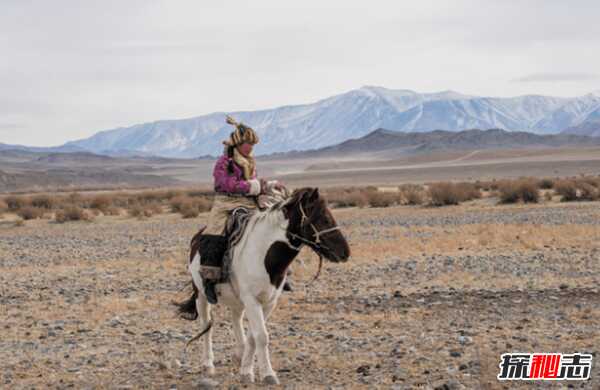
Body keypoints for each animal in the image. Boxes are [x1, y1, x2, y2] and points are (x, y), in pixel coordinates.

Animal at [176, 188, 350, 384]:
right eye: (324, 218)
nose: (345, 252)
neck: (263, 253)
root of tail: (197, 237)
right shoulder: (252, 301)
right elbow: (261, 336)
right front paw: (267, 374)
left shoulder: (268, 302)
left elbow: (253, 336)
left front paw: (246, 370)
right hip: (201, 295)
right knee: (206, 325)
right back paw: (208, 364)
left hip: (237, 299)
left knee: (235, 319)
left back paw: (239, 354)